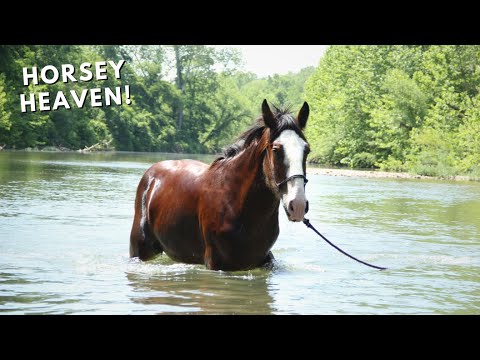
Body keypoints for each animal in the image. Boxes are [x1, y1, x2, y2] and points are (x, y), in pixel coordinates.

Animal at [130, 99, 312, 270]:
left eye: (307, 150)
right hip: (139, 250)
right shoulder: (216, 264)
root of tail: (151, 175)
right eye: (276, 149)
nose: (298, 205)